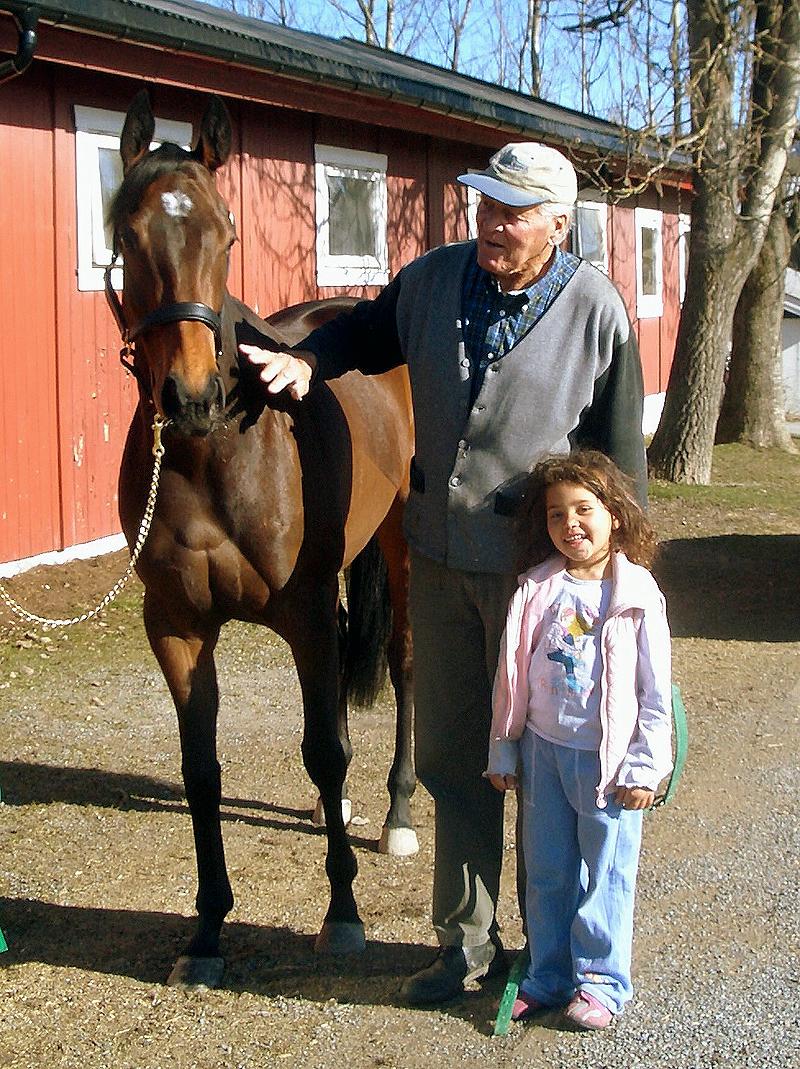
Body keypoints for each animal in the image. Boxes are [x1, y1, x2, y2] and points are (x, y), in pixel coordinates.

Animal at [107, 89, 416, 987]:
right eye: (126, 233)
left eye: (227, 233)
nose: (191, 396)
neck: (218, 453)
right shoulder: (176, 626)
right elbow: (201, 772)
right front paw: (209, 929)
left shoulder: (304, 611)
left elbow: (325, 746)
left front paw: (342, 912)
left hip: (400, 541)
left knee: (402, 665)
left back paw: (397, 809)